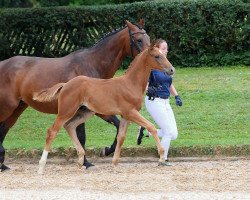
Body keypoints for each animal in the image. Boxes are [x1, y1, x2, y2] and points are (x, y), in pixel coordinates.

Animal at [0, 19, 149, 171]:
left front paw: (106, 150)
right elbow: (82, 136)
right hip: (7, 107)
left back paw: (3, 163)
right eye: (138, 39)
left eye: (148, 38)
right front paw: (86, 162)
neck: (92, 64)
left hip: (17, 108)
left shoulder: (98, 109)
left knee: (4, 128)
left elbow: (118, 126)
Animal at [33, 43, 175, 173]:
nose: (171, 70)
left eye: (163, 54)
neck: (130, 83)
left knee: (70, 126)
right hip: (66, 111)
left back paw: (80, 160)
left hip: (86, 112)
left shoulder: (125, 116)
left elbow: (121, 137)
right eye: (157, 56)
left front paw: (114, 163)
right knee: (52, 131)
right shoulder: (130, 112)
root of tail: (65, 85)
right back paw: (41, 167)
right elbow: (151, 127)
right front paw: (161, 157)